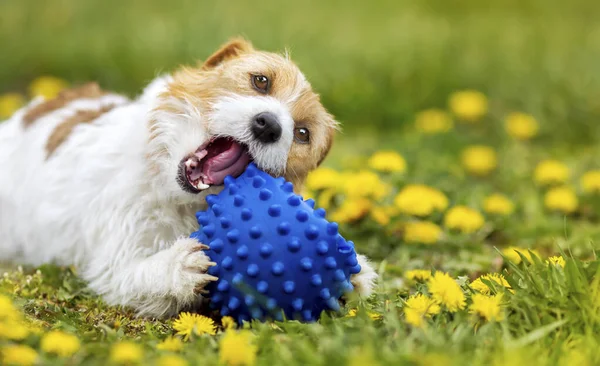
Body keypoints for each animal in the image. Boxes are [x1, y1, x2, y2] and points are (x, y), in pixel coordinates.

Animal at [0, 38, 376, 318]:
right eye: (261, 81)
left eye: (302, 133)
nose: (269, 126)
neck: (176, 195)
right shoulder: (112, 262)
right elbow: (130, 272)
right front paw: (178, 265)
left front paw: (355, 276)